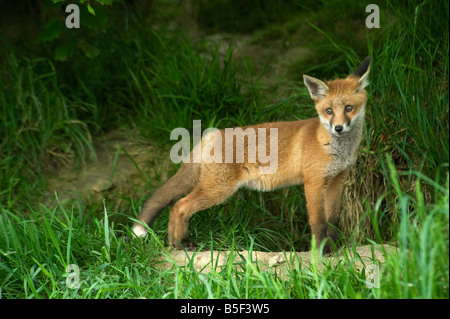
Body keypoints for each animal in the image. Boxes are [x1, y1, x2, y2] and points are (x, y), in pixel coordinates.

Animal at [132, 56, 370, 254]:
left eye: (349, 108)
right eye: (328, 111)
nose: (338, 128)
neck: (335, 148)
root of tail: (212, 134)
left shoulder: (337, 180)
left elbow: (334, 220)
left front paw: (338, 247)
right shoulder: (313, 183)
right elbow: (319, 222)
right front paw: (323, 251)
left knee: (174, 207)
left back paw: (173, 245)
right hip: (219, 190)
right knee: (179, 206)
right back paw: (182, 243)